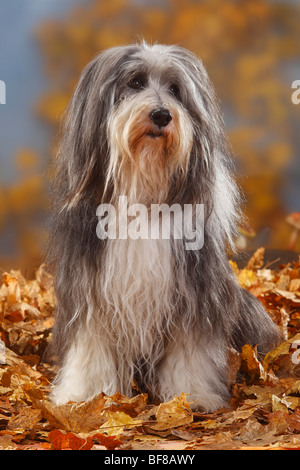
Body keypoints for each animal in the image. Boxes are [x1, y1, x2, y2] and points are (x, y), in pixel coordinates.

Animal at [47, 44, 282, 412]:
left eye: (175, 89)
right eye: (135, 82)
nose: (161, 115)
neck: (144, 194)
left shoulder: (194, 294)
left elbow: (192, 352)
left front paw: (194, 396)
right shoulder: (89, 291)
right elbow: (90, 347)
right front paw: (84, 395)